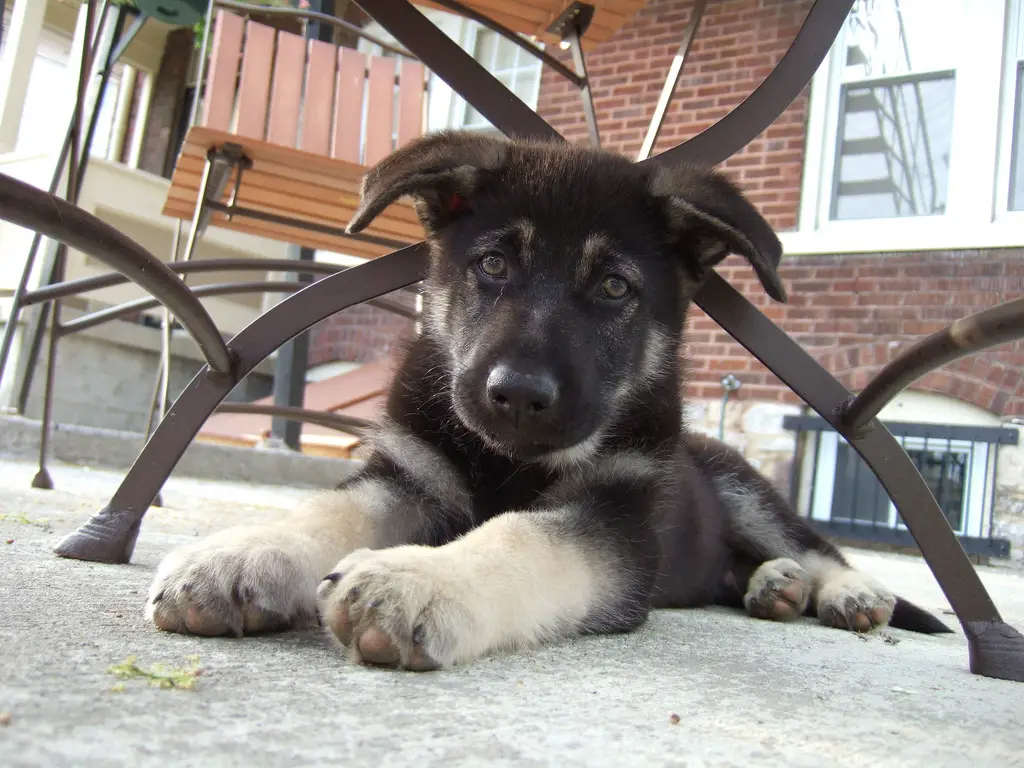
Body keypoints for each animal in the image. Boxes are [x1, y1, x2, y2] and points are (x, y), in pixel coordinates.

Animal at [146, 129, 950, 671]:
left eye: (615, 287)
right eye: (494, 265)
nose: (516, 396)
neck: (505, 460)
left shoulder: (612, 522)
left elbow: (519, 536)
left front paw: (420, 577)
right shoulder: (409, 474)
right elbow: (329, 509)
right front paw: (239, 552)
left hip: (740, 485)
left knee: (812, 545)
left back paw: (843, 592)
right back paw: (773, 587)